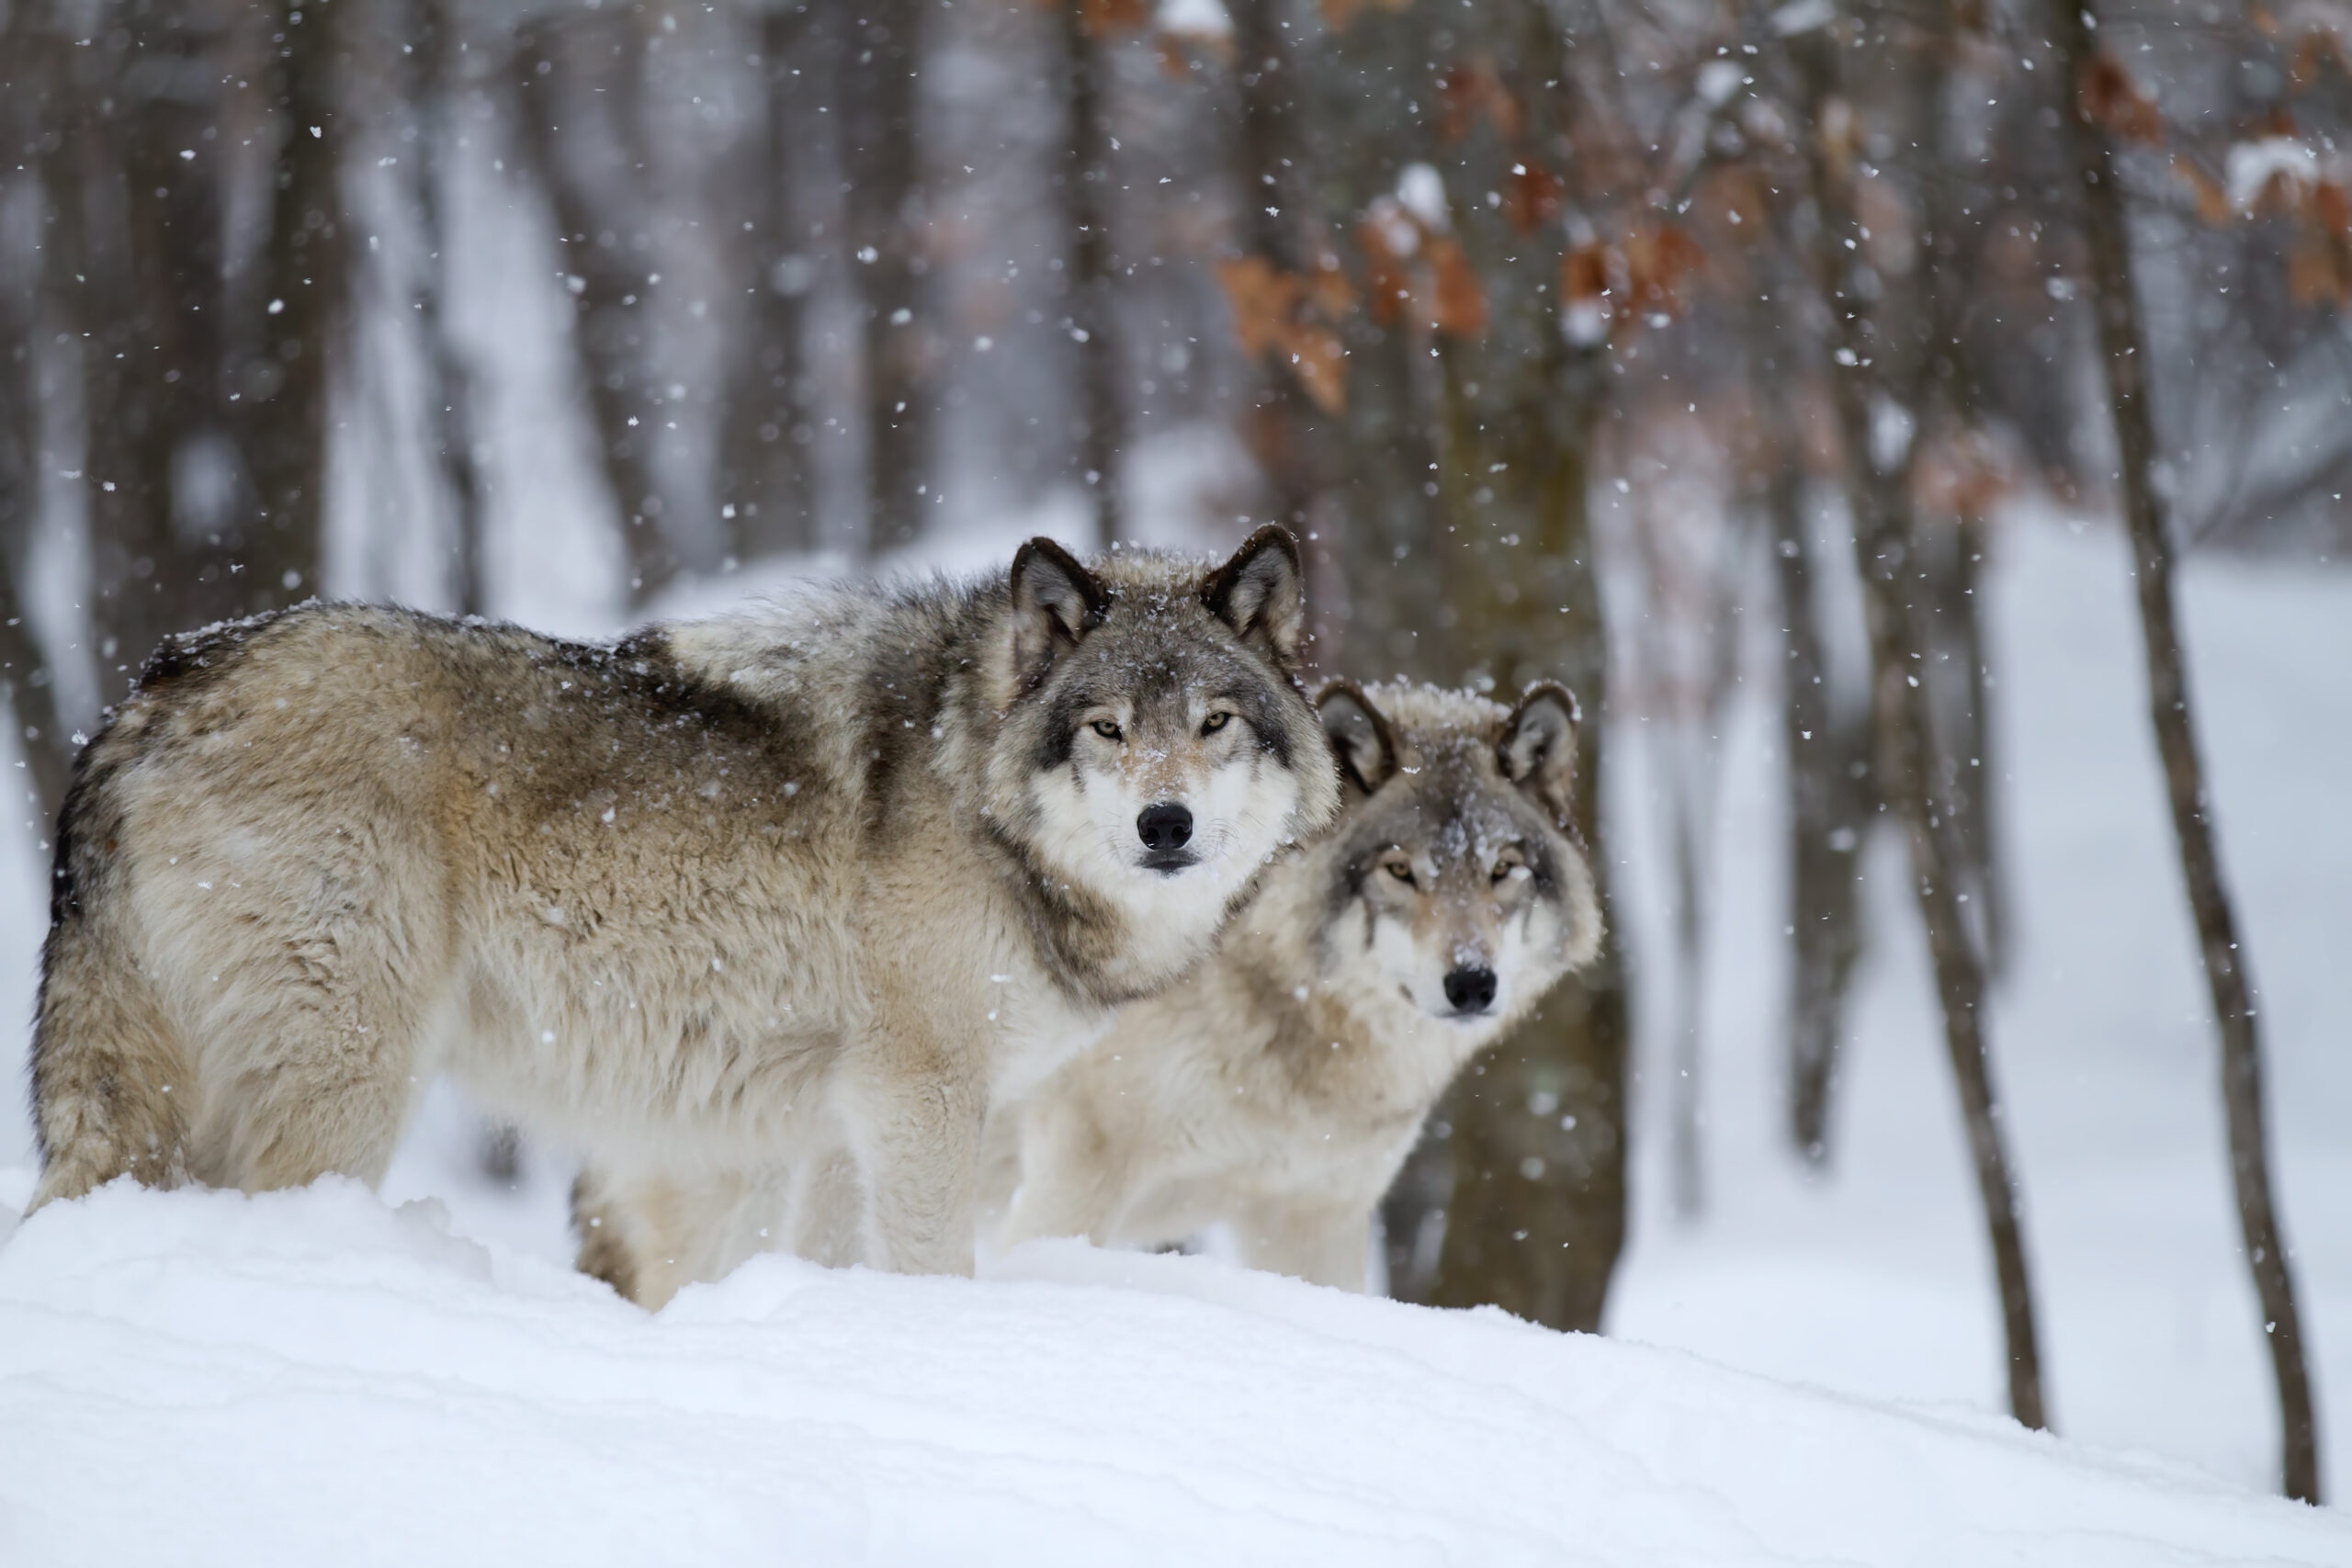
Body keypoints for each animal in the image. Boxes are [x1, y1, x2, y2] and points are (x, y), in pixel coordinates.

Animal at [27, 528, 1338, 1281]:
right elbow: (931, 1267)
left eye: (1213, 724)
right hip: (345, 1084)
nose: (1163, 826)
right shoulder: (920, 1095)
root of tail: (145, 695)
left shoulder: (841, 1118)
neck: (972, 783)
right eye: (1106, 729)